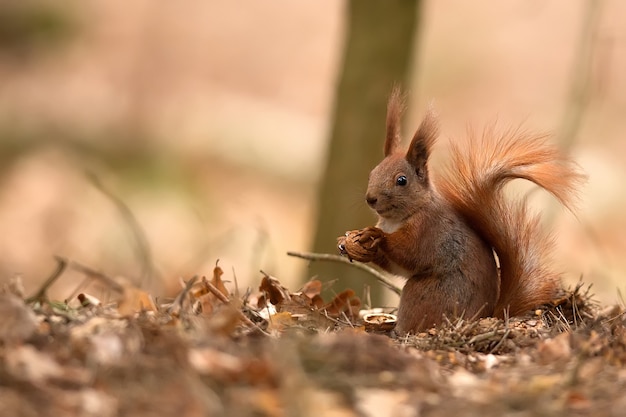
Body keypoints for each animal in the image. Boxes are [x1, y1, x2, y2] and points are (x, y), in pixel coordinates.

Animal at [334, 89, 584, 334]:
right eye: (372, 173)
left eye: (401, 180)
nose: (370, 198)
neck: (396, 219)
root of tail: (484, 316)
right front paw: (350, 244)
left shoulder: (428, 229)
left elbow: (409, 253)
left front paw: (377, 236)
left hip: (424, 295)